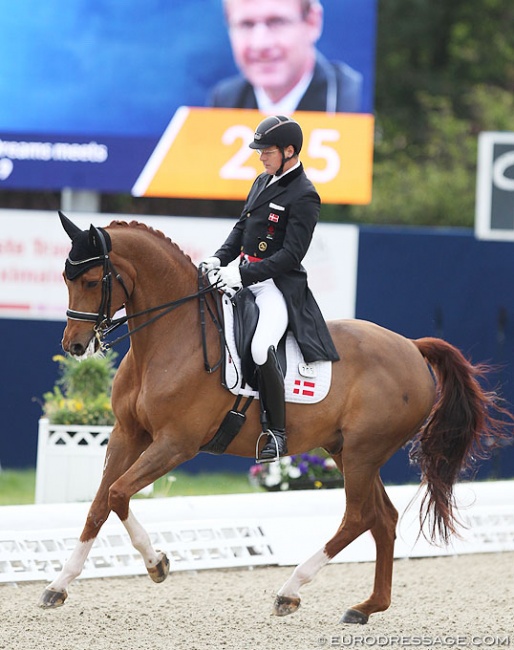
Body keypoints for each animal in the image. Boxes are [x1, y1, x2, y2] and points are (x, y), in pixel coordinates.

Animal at [38, 214, 510, 624]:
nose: (74, 345)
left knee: (359, 517)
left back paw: (290, 591)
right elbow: (99, 505)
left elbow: (118, 494)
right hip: (344, 450)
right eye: (65, 278)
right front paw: (58, 586)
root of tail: (412, 347)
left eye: (91, 280)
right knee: (384, 518)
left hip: (363, 452)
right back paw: (366, 607)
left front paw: (158, 564)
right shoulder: (127, 434)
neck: (170, 338)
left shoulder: (175, 444)